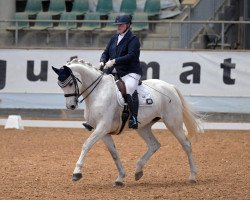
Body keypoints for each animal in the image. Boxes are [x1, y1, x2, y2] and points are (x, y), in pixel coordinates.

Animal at [52, 58, 203, 187]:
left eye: (70, 83)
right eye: (60, 85)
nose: (71, 106)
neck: (98, 92)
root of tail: (170, 86)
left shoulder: (102, 127)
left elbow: (86, 145)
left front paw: (77, 173)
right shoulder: (103, 131)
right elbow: (114, 154)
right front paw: (120, 178)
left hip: (173, 122)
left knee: (186, 145)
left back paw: (192, 177)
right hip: (143, 127)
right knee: (154, 145)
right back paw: (138, 171)